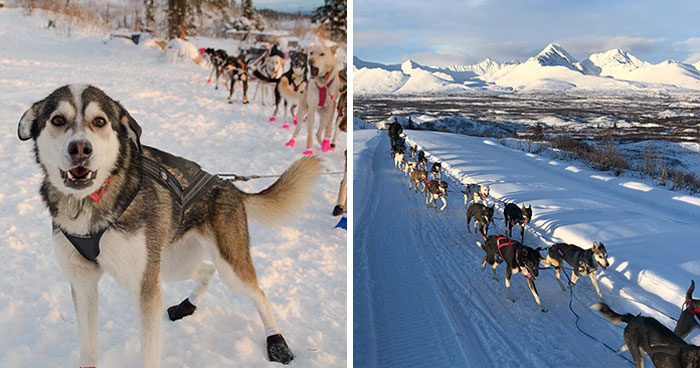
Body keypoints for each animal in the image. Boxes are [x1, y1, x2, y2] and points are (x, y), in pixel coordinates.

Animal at [17, 84, 320, 368]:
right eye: (57, 120)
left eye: (99, 121)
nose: (80, 148)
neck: (91, 200)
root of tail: (227, 184)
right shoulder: (83, 284)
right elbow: (88, 349)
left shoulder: (145, 289)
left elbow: (149, 353)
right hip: (171, 264)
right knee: (206, 270)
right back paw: (187, 305)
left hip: (226, 265)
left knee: (258, 292)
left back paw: (276, 342)